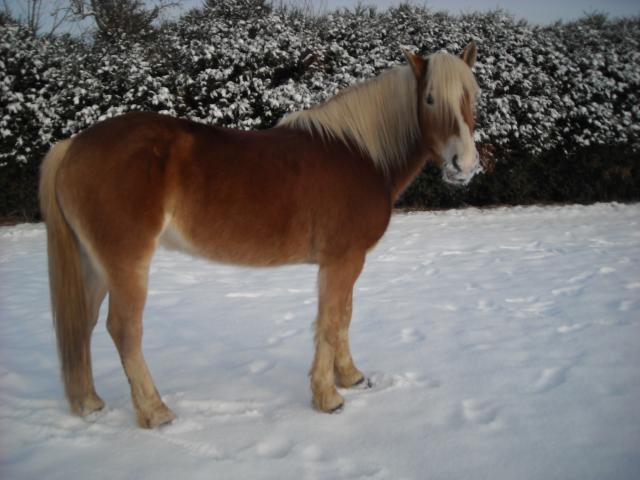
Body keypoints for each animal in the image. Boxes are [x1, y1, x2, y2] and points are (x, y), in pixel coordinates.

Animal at [38, 44, 480, 428]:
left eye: (471, 95)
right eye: (429, 99)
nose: (464, 164)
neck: (361, 155)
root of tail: (73, 145)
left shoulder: (349, 261)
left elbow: (344, 318)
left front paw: (350, 376)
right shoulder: (341, 260)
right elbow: (330, 321)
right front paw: (328, 398)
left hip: (95, 265)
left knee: (84, 322)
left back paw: (90, 403)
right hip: (127, 263)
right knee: (124, 329)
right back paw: (155, 412)